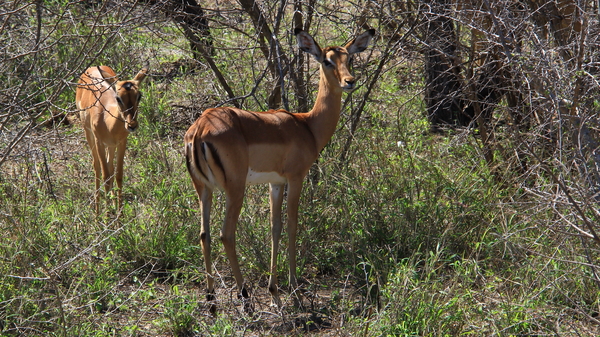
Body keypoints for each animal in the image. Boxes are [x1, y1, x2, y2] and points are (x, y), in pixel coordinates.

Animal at [76, 64, 149, 214]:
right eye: (118, 98)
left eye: (139, 96)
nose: (132, 125)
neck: (107, 120)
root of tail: (92, 67)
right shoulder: (99, 141)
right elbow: (105, 176)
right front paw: (107, 215)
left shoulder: (121, 142)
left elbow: (118, 175)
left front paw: (119, 215)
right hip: (88, 133)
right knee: (97, 166)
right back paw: (97, 214)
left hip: (111, 145)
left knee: (110, 167)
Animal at [184, 27, 376, 308]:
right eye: (327, 61)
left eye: (348, 58)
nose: (350, 81)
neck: (307, 126)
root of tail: (200, 128)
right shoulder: (296, 179)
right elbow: (292, 226)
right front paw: (295, 291)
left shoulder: (275, 183)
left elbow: (275, 228)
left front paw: (274, 291)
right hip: (235, 189)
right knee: (226, 235)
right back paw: (245, 296)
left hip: (203, 189)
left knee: (204, 234)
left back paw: (211, 300)